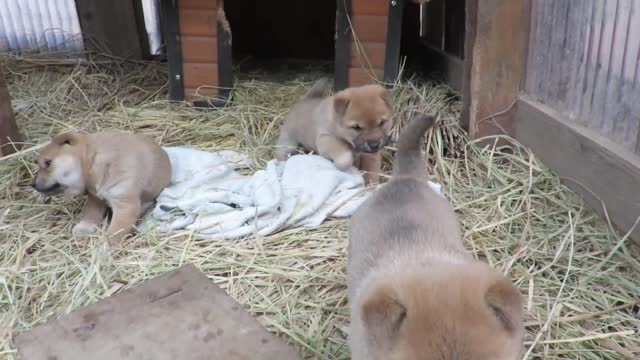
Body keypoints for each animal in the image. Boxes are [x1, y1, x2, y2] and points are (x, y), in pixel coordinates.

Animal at [31, 129, 172, 245]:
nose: (32, 184)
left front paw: (103, 251)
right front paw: (84, 227)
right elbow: (90, 212)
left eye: (48, 163)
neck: (94, 160)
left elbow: (114, 233)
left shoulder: (125, 205)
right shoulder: (95, 197)